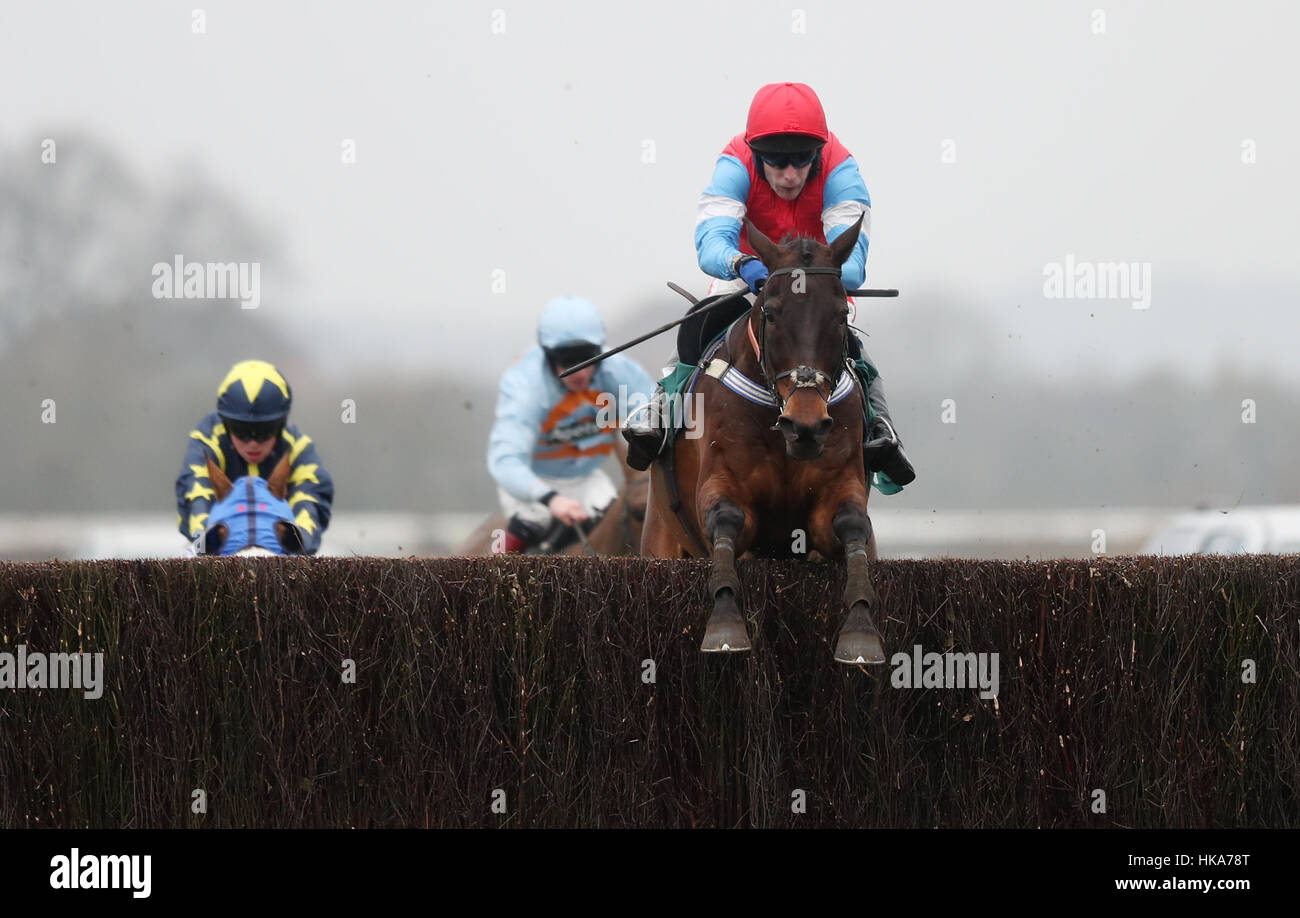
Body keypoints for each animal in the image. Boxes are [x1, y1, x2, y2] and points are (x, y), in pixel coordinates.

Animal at [644, 213, 889, 660]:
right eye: (772, 313)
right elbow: (727, 518)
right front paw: (725, 623)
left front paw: (860, 628)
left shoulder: (838, 488)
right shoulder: (722, 480)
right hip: (660, 539)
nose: (806, 425)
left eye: (840, 315)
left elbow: (852, 524)